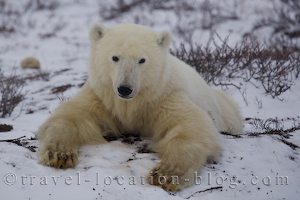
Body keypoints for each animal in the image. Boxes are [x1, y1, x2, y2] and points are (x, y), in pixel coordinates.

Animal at [38, 23, 244, 192]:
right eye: (115, 57)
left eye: (142, 60)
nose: (124, 88)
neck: (133, 102)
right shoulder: (102, 97)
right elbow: (73, 116)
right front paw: (59, 154)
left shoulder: (164, 97)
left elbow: (191, 128)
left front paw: (165, 174)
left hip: (226, 110)